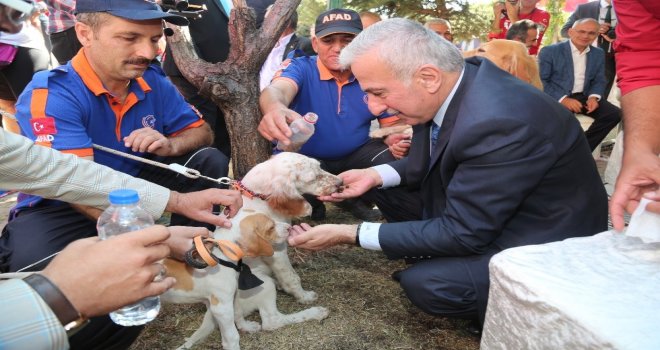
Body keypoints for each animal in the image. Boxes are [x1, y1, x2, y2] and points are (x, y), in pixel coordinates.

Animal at [160, 153, 340, 350]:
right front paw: (304, 296)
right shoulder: (277, 252)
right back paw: (315, 312)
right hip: (263, 286)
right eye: (313, 177)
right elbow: (292, 277)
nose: (341, 183)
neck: (258, 199)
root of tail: (209, 310)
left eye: (320, 167)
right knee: (271, 321)